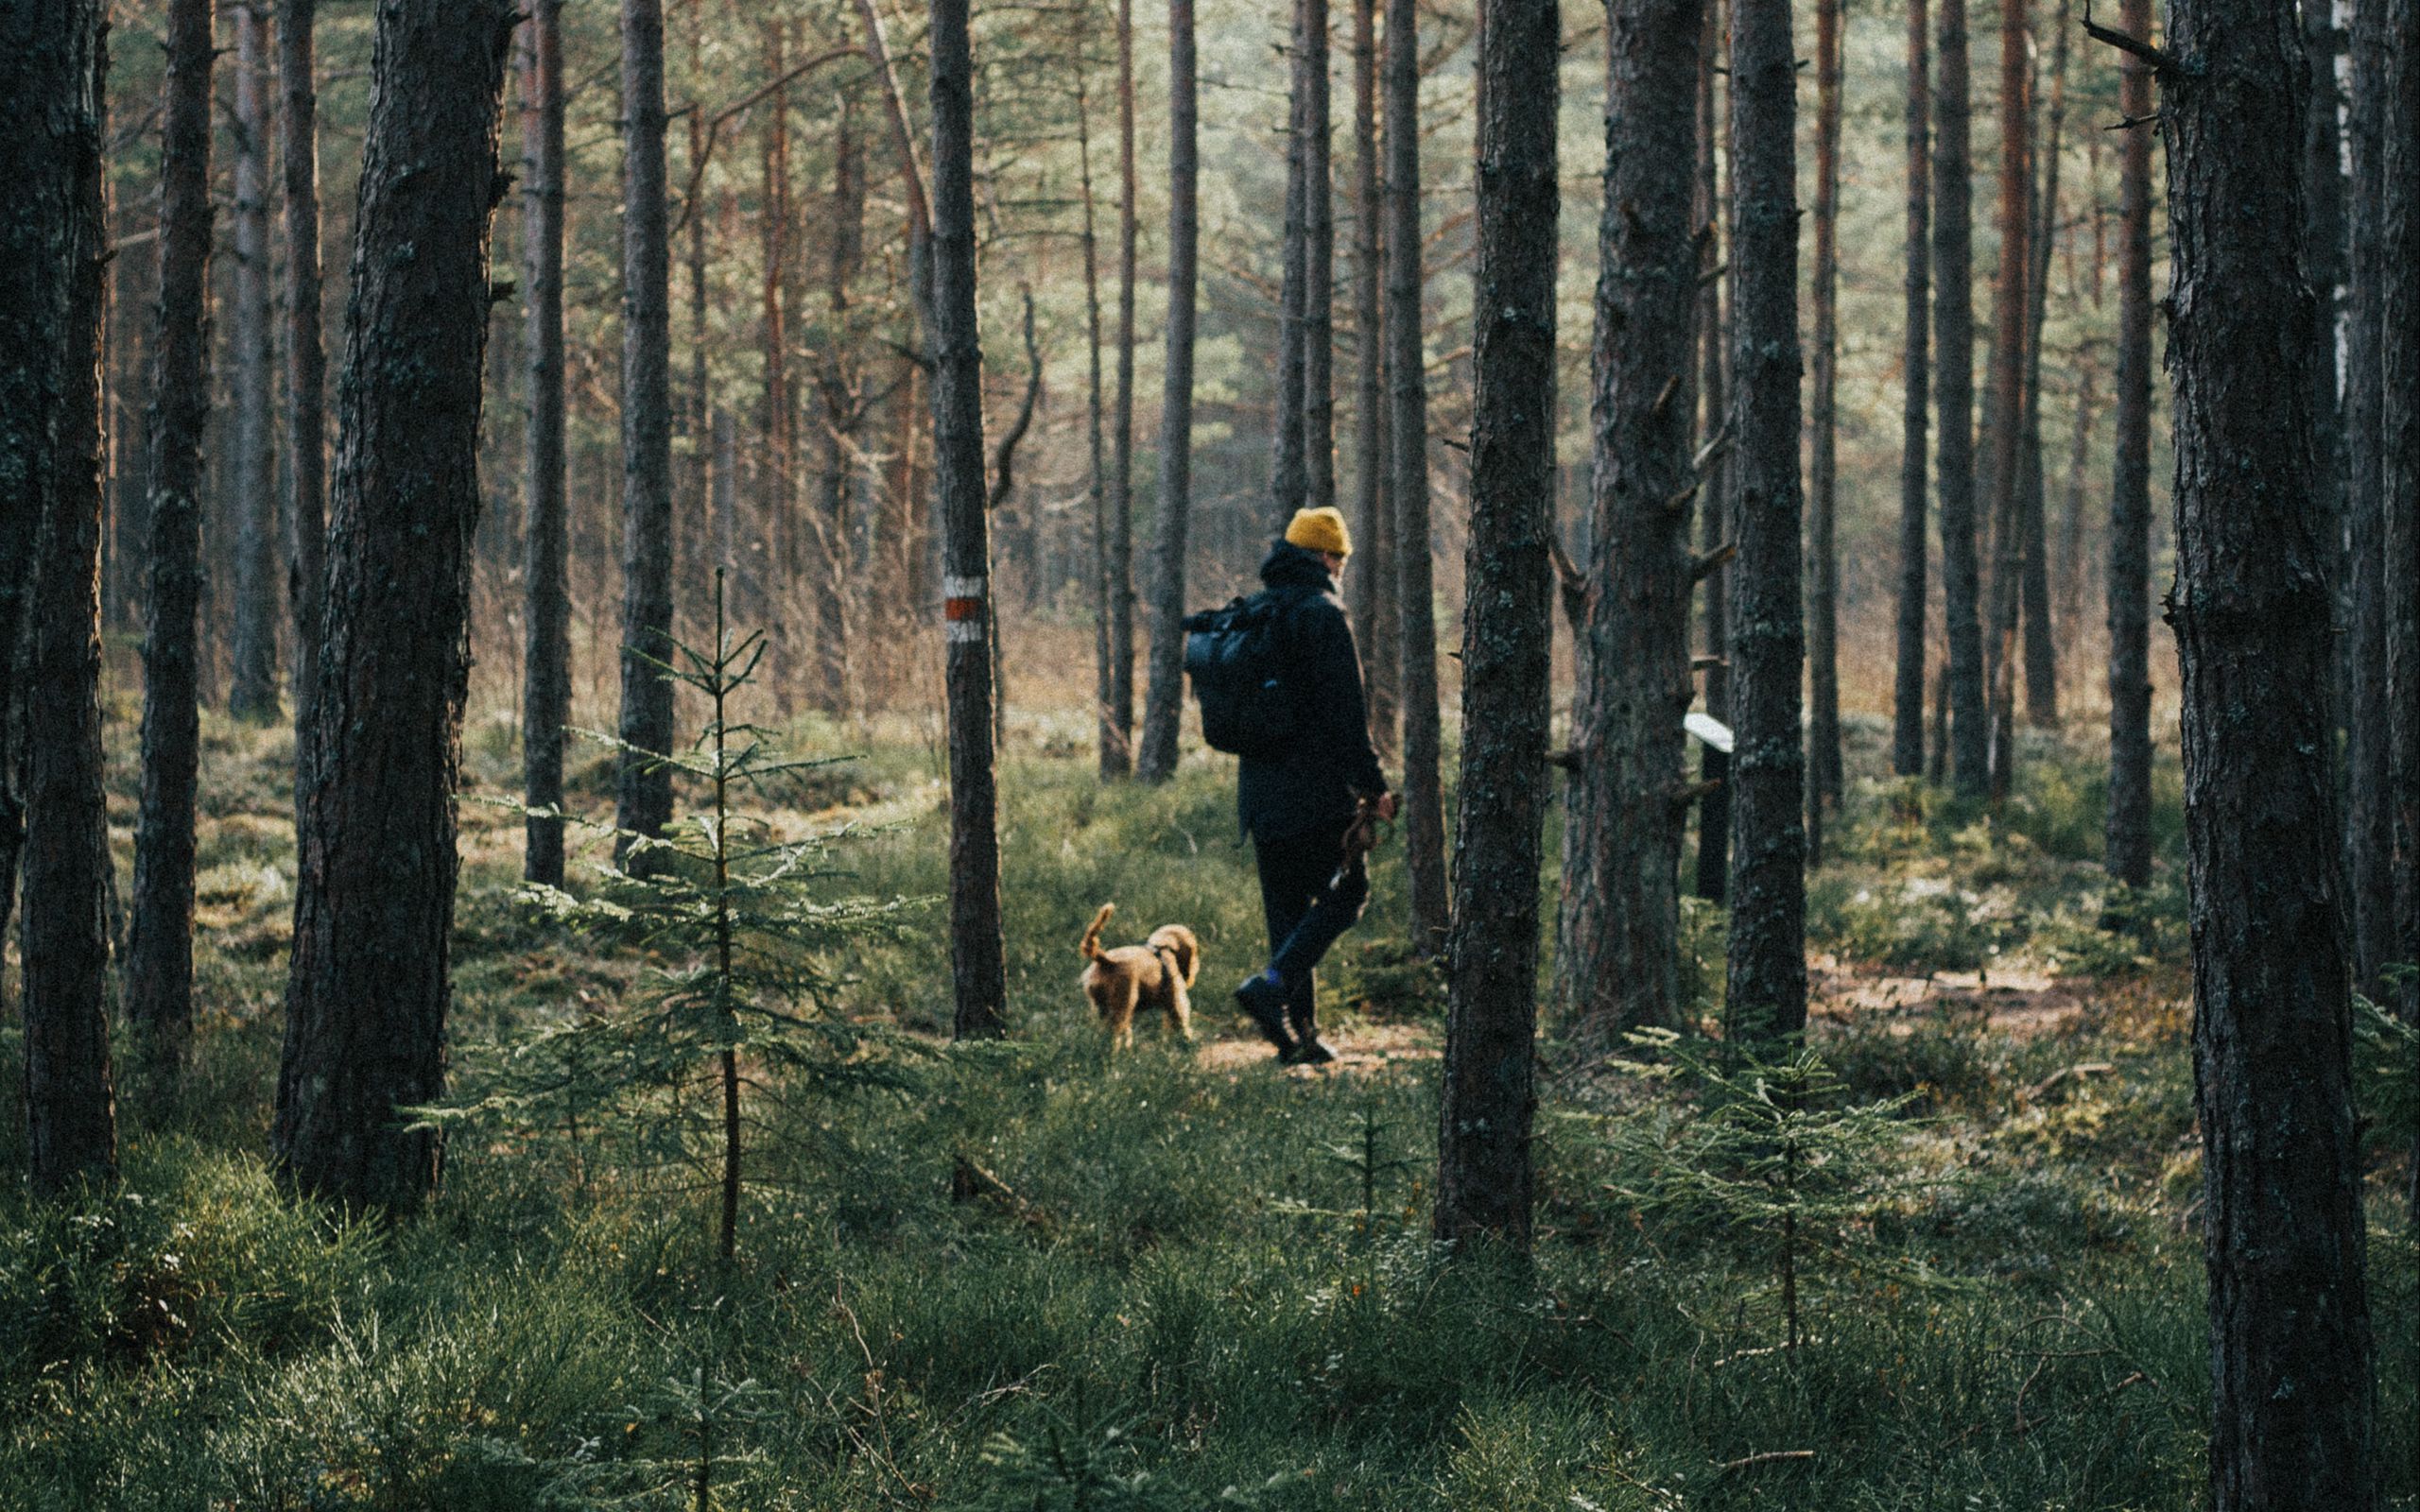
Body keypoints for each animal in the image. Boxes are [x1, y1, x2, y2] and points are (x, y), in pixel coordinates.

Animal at [1079, 900, 1200, 1044]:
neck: (1163, 946)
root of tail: (1104, 960)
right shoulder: (1177, 1000)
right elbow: (1182, 1021)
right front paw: (1188, 1042)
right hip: (1123, 1004)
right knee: (1115, 1035)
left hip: (1100, 1007)